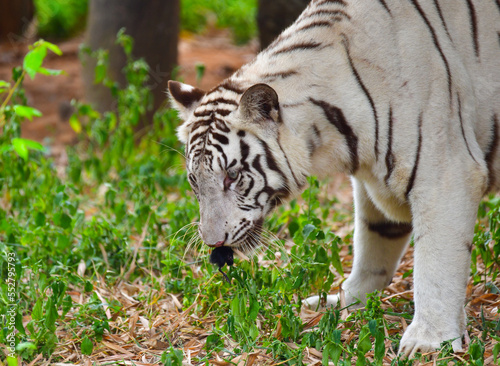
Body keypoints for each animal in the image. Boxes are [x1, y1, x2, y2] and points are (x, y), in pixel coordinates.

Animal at [168, 0, 500, 358]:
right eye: (194, 181)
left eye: (232, 175)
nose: (212, 242)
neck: (338, 134)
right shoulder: (372, 182)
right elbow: (373, 245)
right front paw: (344, 303)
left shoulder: (446, 174)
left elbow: (436, 264)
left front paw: (429, 342)